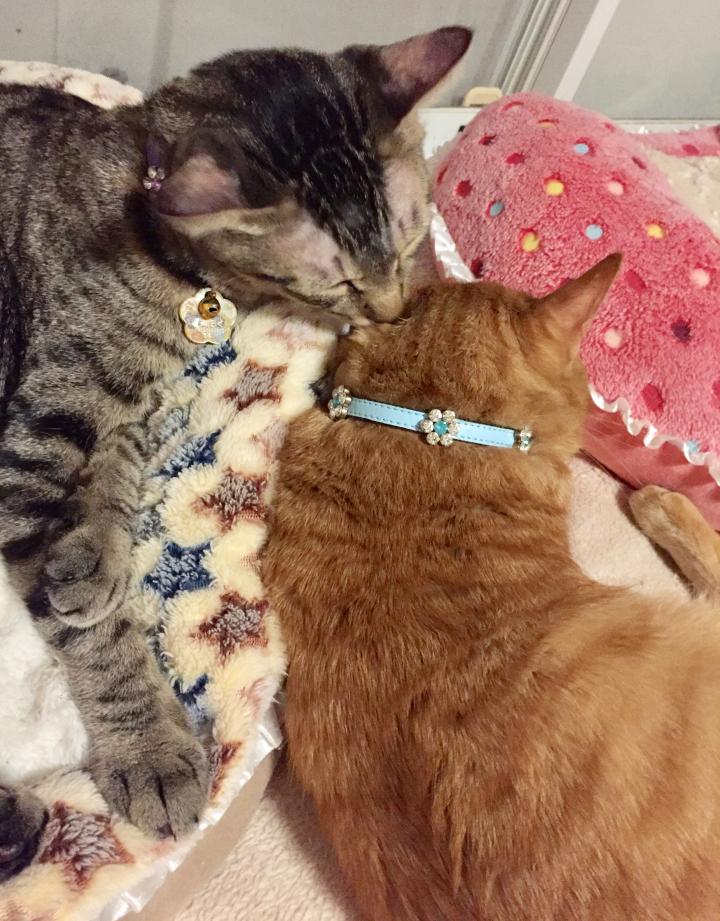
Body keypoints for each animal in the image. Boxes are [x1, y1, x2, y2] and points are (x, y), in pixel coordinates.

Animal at [0, 26, 472, 881]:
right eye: (338, 285)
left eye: (409, 240)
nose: (393, 309)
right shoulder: (33, 439)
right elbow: (93, 639)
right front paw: (149, 749)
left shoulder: (131, 408)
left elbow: (112, 477)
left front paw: (93, 557)